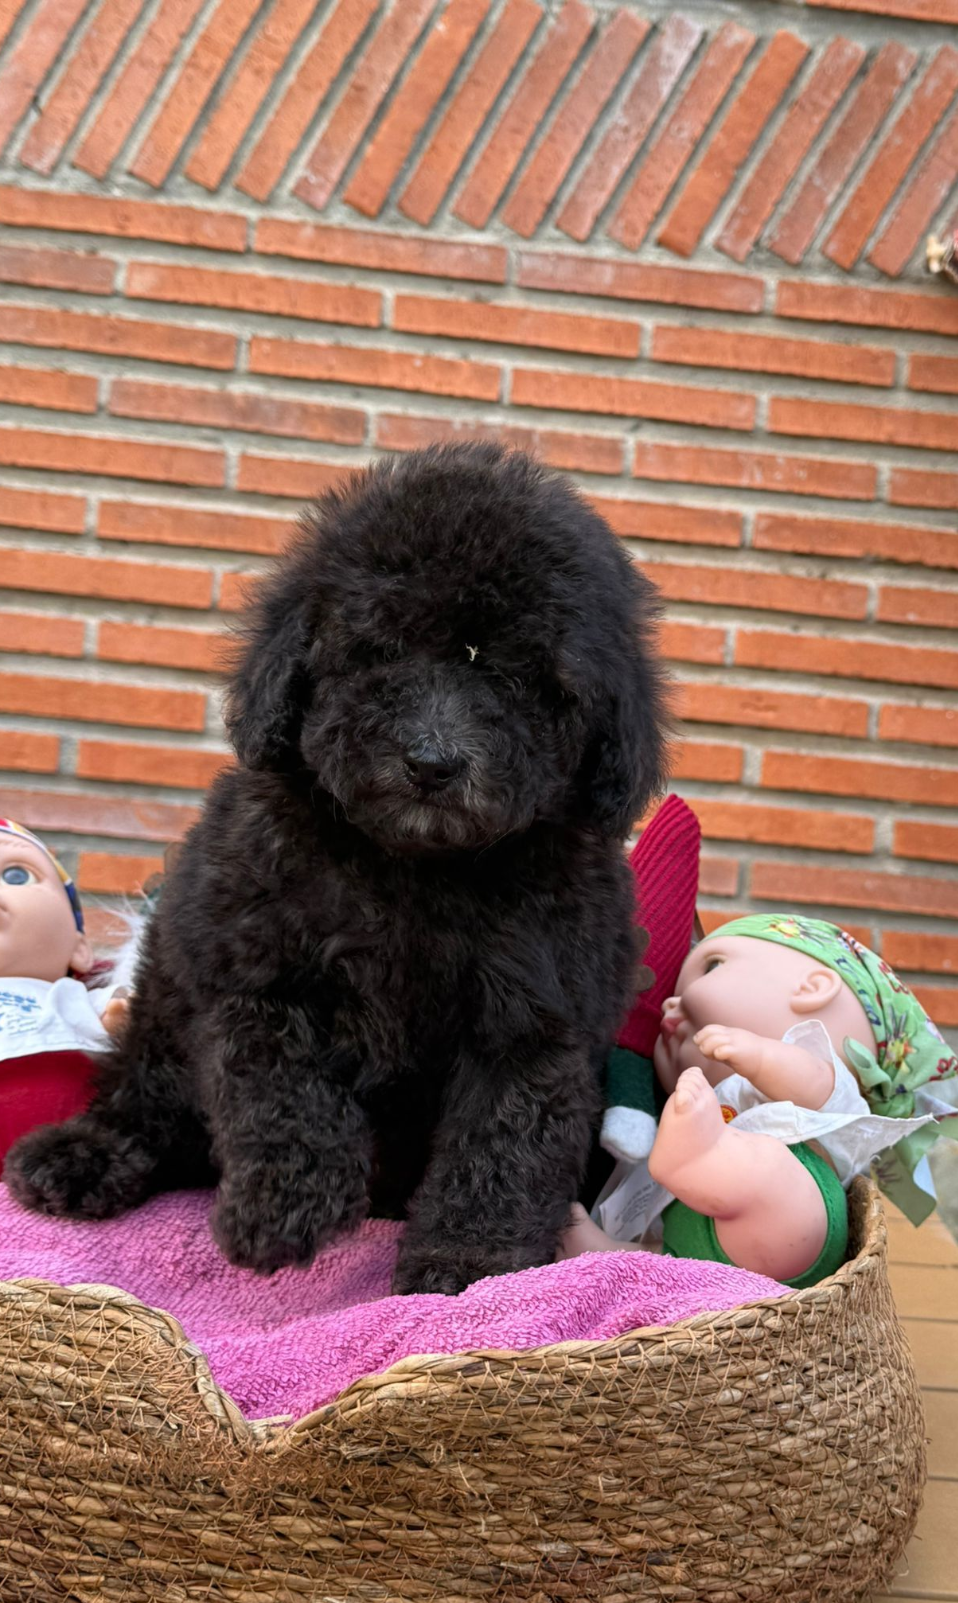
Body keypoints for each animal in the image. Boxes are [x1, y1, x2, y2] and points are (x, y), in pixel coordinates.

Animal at [7, 443, 668, 1294]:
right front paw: (280, 1211)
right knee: (149, 1095)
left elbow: (503, 1141)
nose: (432, 762)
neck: (418, 863)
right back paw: (85, 1155)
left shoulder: (536, 1016)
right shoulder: (257, 961)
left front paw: (468, 1262)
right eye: (381, 650)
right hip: (164, 1010)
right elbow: (284, 1090)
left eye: (519, 677)